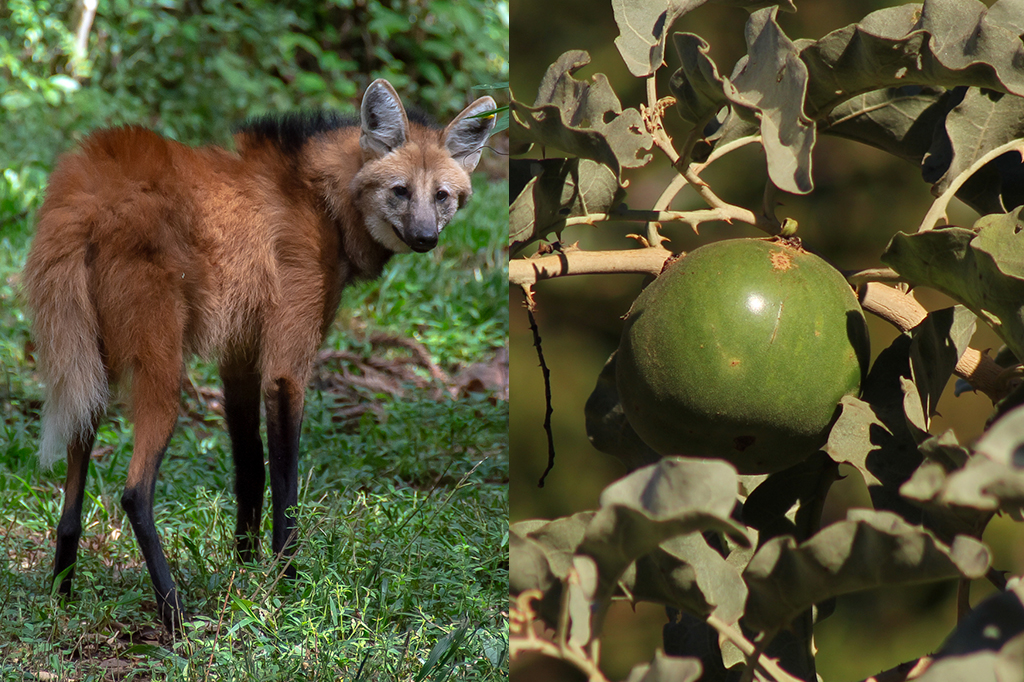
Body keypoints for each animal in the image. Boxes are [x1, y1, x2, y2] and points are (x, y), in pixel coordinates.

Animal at [22, 79, 496, 631]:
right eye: (399, 191)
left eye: (442, 196)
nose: (425, 238)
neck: (324, 201)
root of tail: (82, 189)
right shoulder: (286, 367)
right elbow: (285, 488)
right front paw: (287, 586)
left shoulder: (240, 359)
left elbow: (250, 469)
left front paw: (243, 573)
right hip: (161, 369)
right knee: (135, 492)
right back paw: (174, 615)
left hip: (87, 366)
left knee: (71, 499)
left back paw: (61, 596)